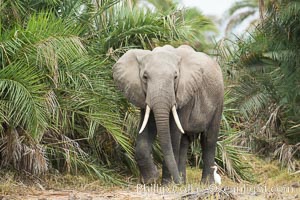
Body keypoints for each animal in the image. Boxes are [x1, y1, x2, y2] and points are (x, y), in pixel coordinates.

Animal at [113, 44, 224, 184]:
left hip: (218, 101)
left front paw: (166, 184)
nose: (176, 182)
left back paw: (205, 183)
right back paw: (183, 181)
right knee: (184, 142)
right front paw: (151, 180)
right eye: (145, 77)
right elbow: (148, 128)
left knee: (208, 139)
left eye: (175, 77)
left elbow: (173, 134)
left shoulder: (185, 94)